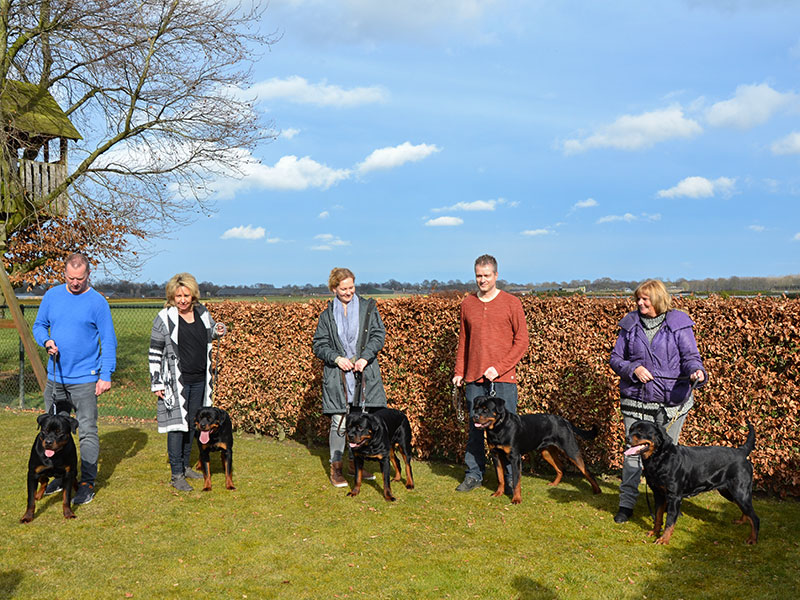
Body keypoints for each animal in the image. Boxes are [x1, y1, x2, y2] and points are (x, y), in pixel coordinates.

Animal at [468, 396, 600, 504]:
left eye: (486, 409)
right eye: (476, 409)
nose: (474, 417)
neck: (498, 428)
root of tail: (564, 420)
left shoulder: (515, 457)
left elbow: (516, 481)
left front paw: (516, 499)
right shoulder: (495, 455)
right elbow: (500, 478)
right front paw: (498, 493)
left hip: (570, 450)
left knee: (586, 471)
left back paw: (597, 490)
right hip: (546, 452)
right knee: (560, 468)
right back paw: (554, 484)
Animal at [624, 414, 756, 548]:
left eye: (641, 431)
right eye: (630, 430)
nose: (626, 438)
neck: (659, 457)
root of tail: (741, 451)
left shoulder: (674, 497)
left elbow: (669, 521)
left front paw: (664, 539)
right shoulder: (659, 494)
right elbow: (658, 516)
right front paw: (655, 532)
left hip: (739, 490)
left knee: (755, 517)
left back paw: (753, 539)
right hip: (728, 491)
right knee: (746, 510)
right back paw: (741, 521)